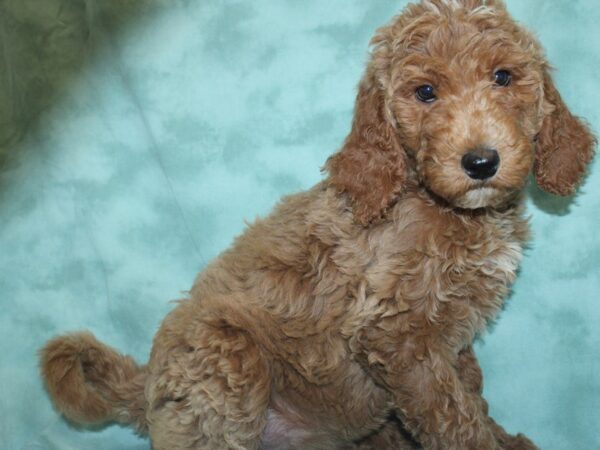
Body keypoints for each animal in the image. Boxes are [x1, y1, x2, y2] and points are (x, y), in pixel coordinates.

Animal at [38, 0, 596, 450]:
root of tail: (148, 384)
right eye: (425, 92)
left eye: (503, 77)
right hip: (226, 363)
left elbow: (471, 394)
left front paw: (504, 437)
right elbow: (451, 417)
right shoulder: (396, 336)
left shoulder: (450, 339)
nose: (481, 162)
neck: (432, 199)